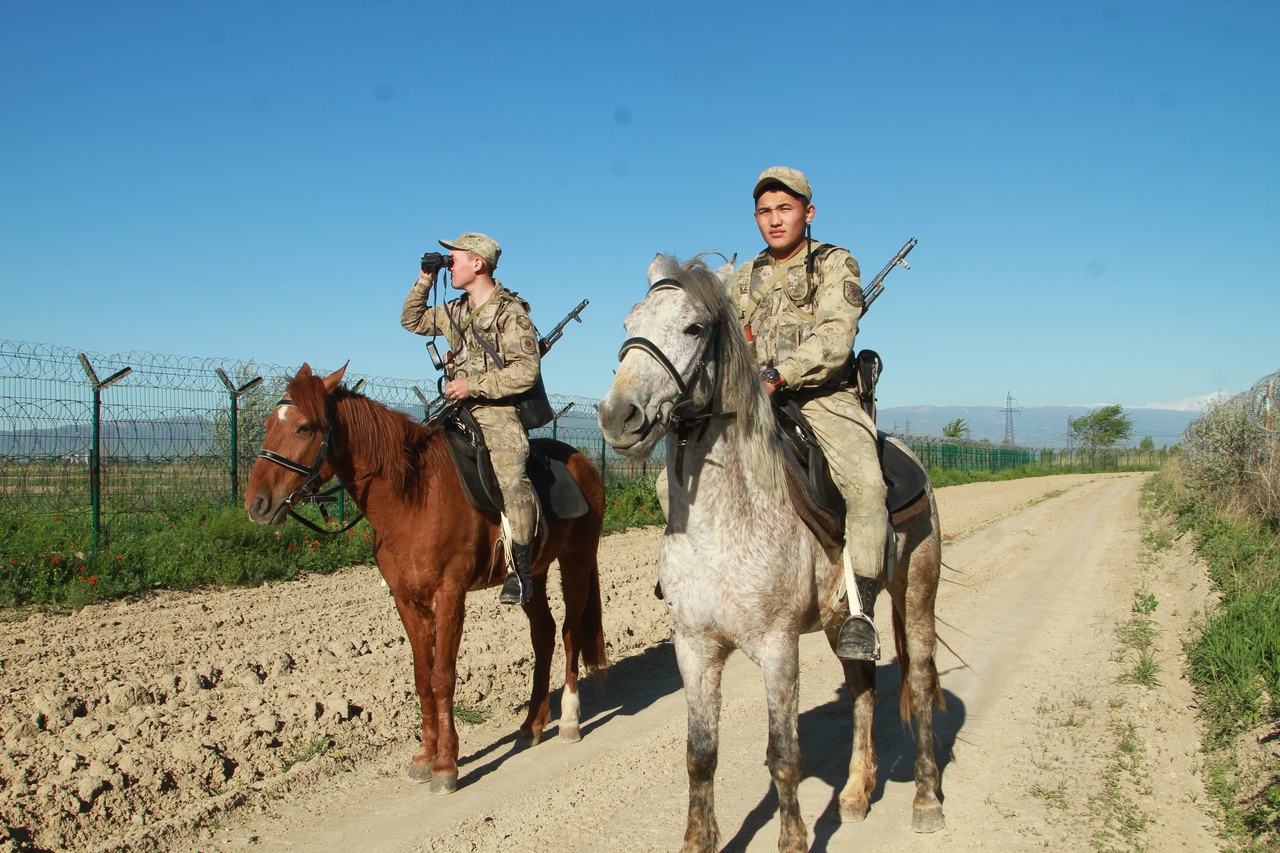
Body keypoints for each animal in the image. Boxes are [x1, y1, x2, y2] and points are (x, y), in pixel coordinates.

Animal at [248, 361, 609, 788]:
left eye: (304, 427)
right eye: (268, 423)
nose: (257, 503)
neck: (412, 496)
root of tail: (583, 463)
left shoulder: (449, 595)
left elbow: (443, 677)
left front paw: (446, 764)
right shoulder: (407, 600)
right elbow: (422, 678)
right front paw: (424, 755)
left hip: (576, 563)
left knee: (571, 632)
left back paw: (569, 720)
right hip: (530, 577)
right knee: (544, 634)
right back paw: (532, 725)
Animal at [593, 253, 947, 850]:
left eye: (693, 328)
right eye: (627, 325)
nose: (618, 416)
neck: (721, 526)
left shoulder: (778, 648)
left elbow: (784, 756)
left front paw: (794, 840)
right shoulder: (695, 648)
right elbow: (700, 755)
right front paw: (697, 840)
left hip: (917, 594)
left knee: (919, 684)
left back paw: (926, 800)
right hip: (840, 622)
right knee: (864, 689)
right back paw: (856, 793)